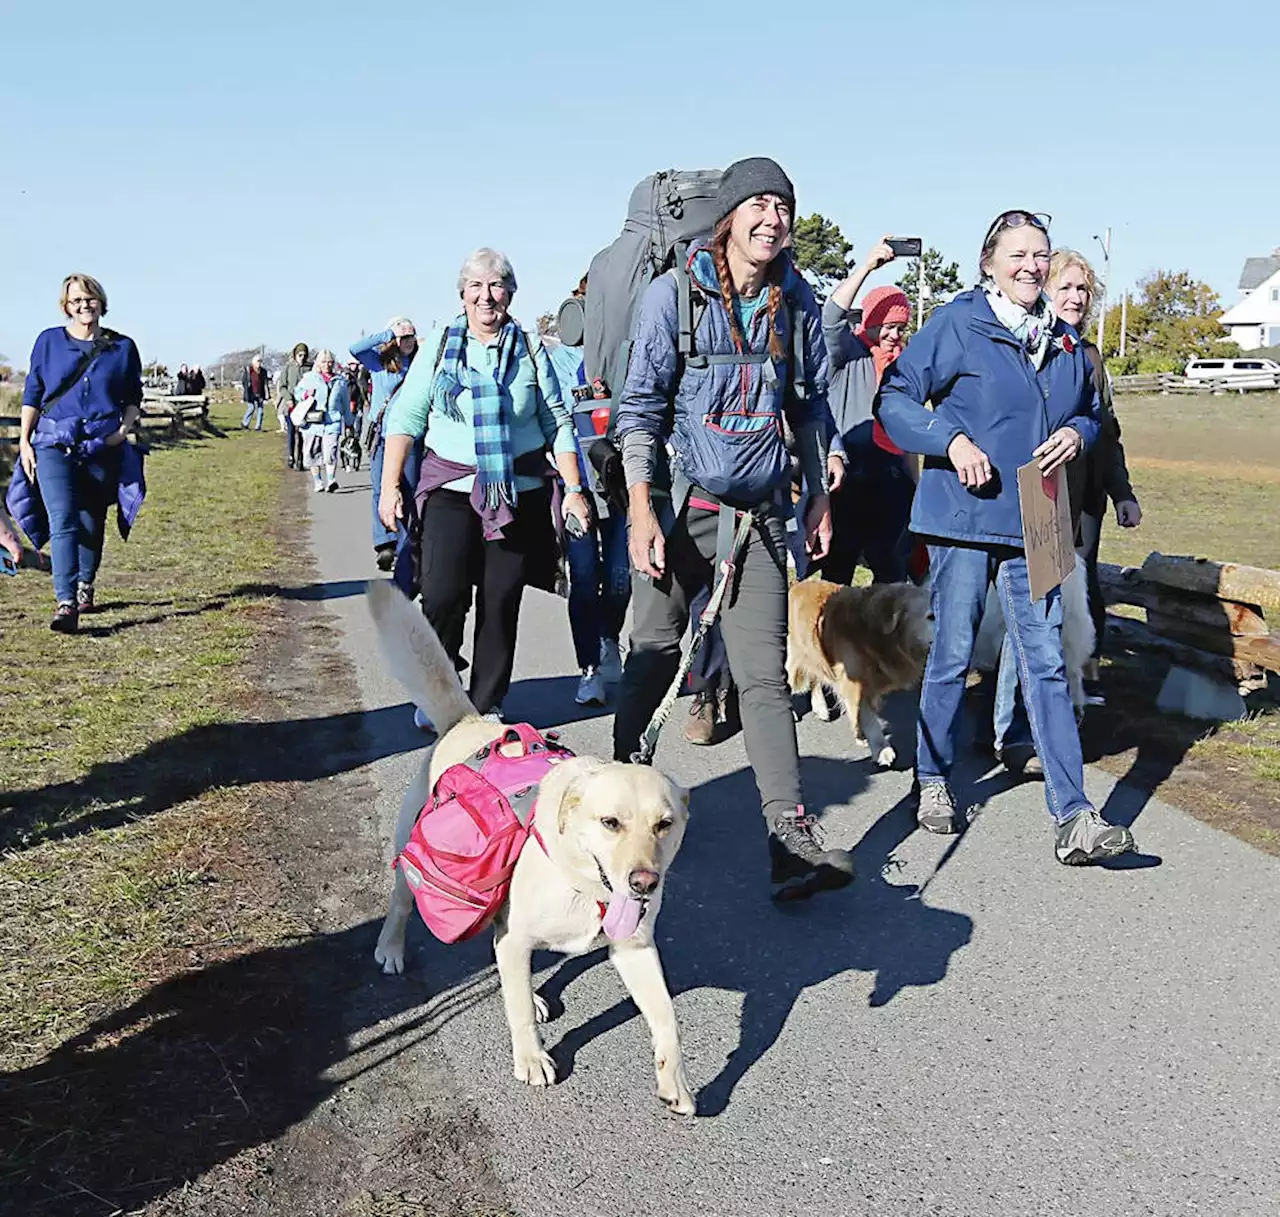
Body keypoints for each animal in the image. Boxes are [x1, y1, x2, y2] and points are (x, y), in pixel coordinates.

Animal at [366, 586, 696, 1115]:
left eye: (664, 825)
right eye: (610, 823)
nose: (644, 883)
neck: (582, 882)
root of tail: (468, 720)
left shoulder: (636, 948)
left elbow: (666, 1018)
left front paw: (675, 1082)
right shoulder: (518, 935)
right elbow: (516, 1006)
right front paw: (531, 1058)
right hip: (409, 864)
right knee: (401, 908)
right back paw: (391, 949)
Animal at [778, 575, 931, 767]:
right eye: (931, 616)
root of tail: (795, 585)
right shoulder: (853, 682)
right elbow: (866, 716)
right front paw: (881, 748)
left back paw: (820, 707)